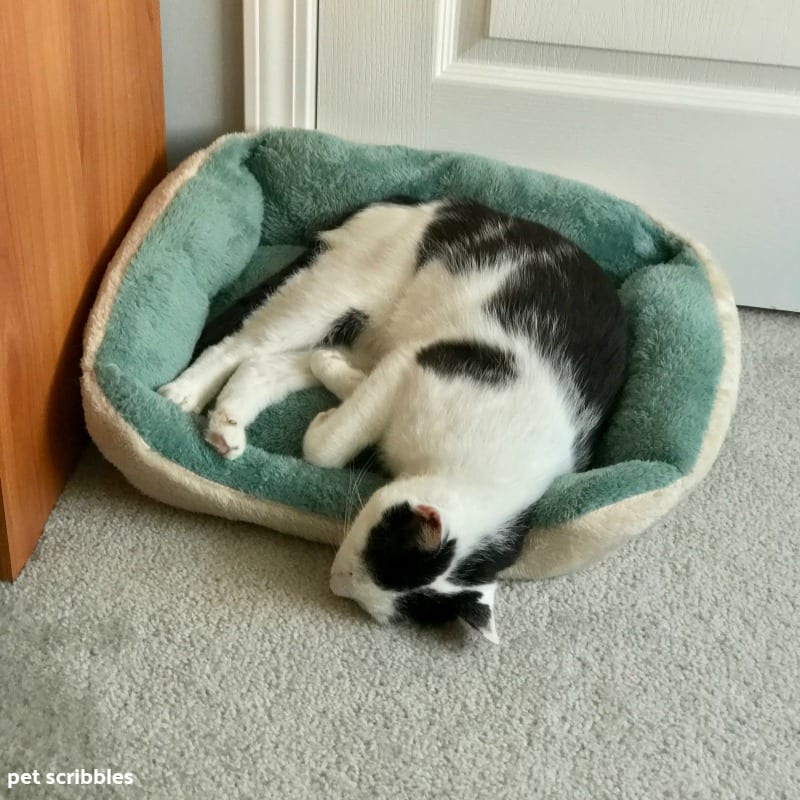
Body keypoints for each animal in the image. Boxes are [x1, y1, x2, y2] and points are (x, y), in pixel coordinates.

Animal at [159, 200, 628, 644]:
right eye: (374, 552)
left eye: (371, 595)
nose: (336, 582)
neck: (491, 474)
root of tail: (427, 202)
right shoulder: (416, 359)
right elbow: (326, 450)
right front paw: (332, 407)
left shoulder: (396, 361)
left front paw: (336, 379)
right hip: (338, 294)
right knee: (240, 345)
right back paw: (184, 393)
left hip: (362, 332)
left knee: (264, 364)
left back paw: (229, 425)